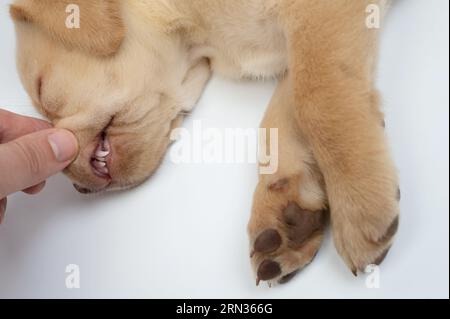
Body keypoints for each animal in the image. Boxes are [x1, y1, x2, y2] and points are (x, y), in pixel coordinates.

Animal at [10, 0, 400, 284]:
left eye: (43, 93)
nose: (77, 189)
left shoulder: (320, 19)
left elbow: (318, 100)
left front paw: (362, 204)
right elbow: (279, 120)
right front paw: (288, 208)